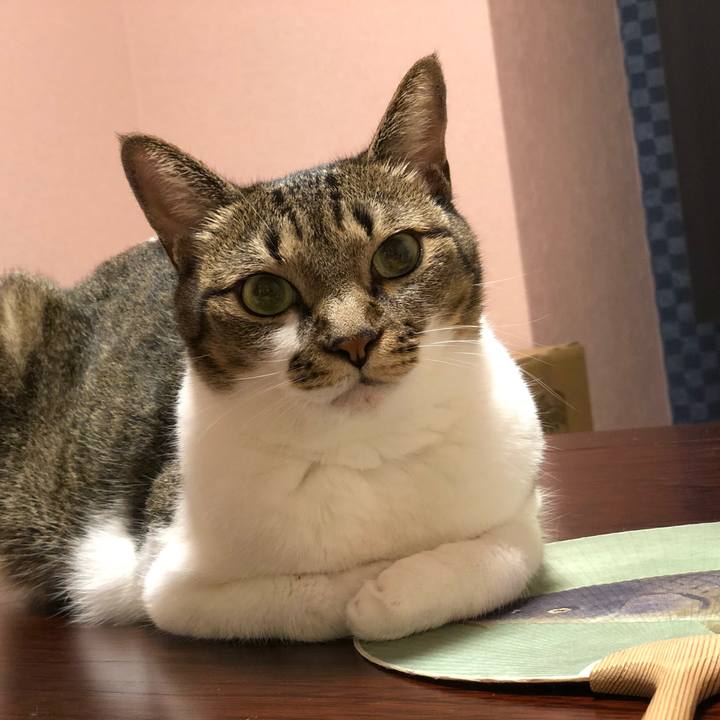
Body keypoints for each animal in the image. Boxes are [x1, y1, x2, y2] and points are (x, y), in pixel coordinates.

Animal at [0, 55, 544, 641]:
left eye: (398, 254)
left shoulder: (523, 505)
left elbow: (511, 555)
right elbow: (310, 597)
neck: (368, 443)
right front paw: (372, 587)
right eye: (264, 293)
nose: (354, 340)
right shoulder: (168, 584)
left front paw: (399, 589)